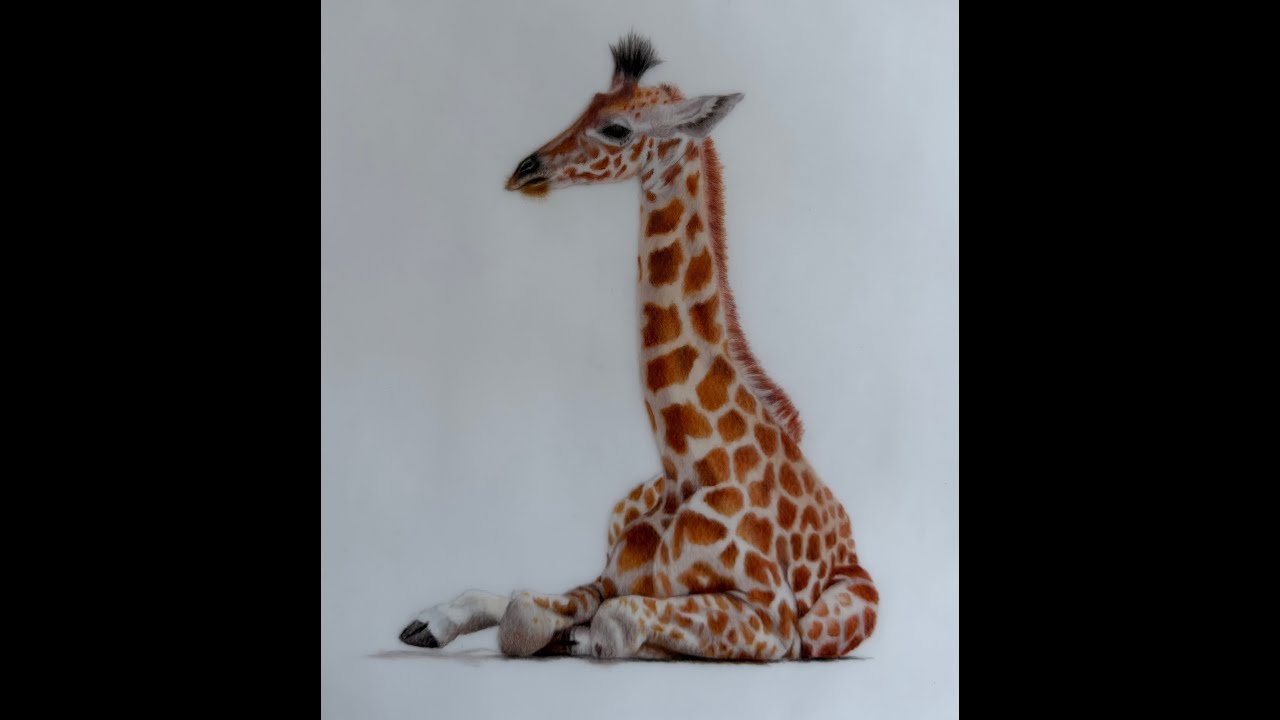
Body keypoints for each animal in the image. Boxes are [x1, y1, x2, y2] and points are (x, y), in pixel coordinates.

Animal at [400, 33, 877, 660]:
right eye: (585, 106)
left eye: (617, 128)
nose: (524, 170)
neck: (686, 465)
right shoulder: (611, 573)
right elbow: (528, 610)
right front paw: (551, 630)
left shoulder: (774, 621)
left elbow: (612, 621)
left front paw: (591, 638)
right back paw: (426, 621)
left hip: (831, 621)